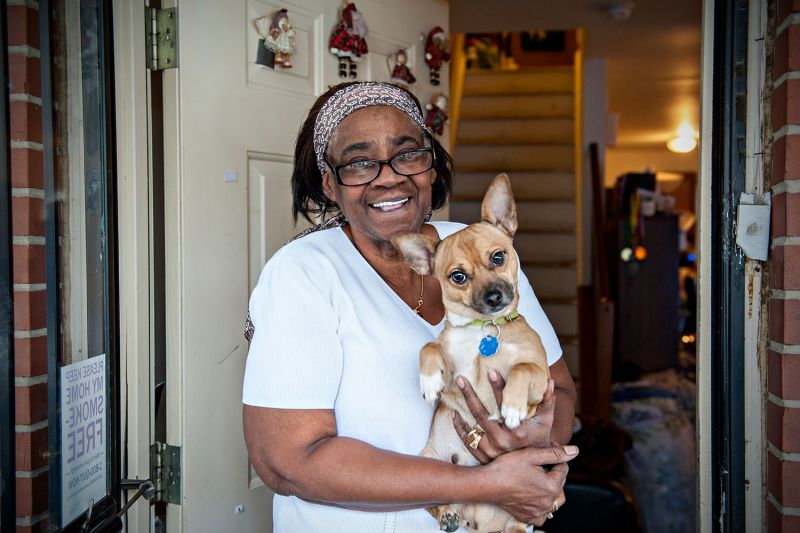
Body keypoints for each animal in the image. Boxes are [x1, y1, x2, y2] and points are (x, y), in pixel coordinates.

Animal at [392, 172, 552, 528]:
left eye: (498, 257)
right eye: (458, 277)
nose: (493, 297)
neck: (484, 329)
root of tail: (477, 518)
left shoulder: (540, 378)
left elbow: (521, 368)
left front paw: (512, 407)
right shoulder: (455, 371)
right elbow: (429, 346)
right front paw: (429, 381)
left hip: (517, 518)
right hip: (431, 465)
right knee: (438, 504)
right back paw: (449, 514)